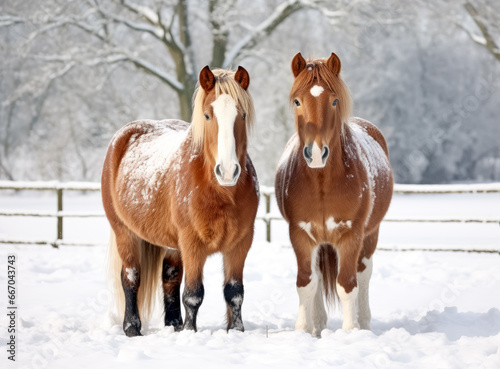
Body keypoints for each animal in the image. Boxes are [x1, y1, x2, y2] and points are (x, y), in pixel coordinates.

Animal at [101, 64, 258, 334]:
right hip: (125, 233)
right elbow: (193, 294)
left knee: (170, 276)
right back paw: (132, 327)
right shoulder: (192, 244)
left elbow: (234, 292)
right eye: (207, 116)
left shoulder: (240, 244)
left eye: (243, 115)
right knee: (131, 277)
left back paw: (173, 324)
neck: (220, 192)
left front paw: (236, 331)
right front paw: (189, 332)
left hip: (172, 245)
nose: (228, 171)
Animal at [276, 52, 392, 336]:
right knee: (318, 277)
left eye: (335, 100)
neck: (322, 184)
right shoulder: (300, 235)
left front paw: (350, 331)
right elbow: (306, 283)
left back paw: (364, 323)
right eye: (297, 100)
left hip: (370, 235)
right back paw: (318, 326)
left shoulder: (351, 236)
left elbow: (347, 285)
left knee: (363, 273)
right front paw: (303, 330)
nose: (316, 153)